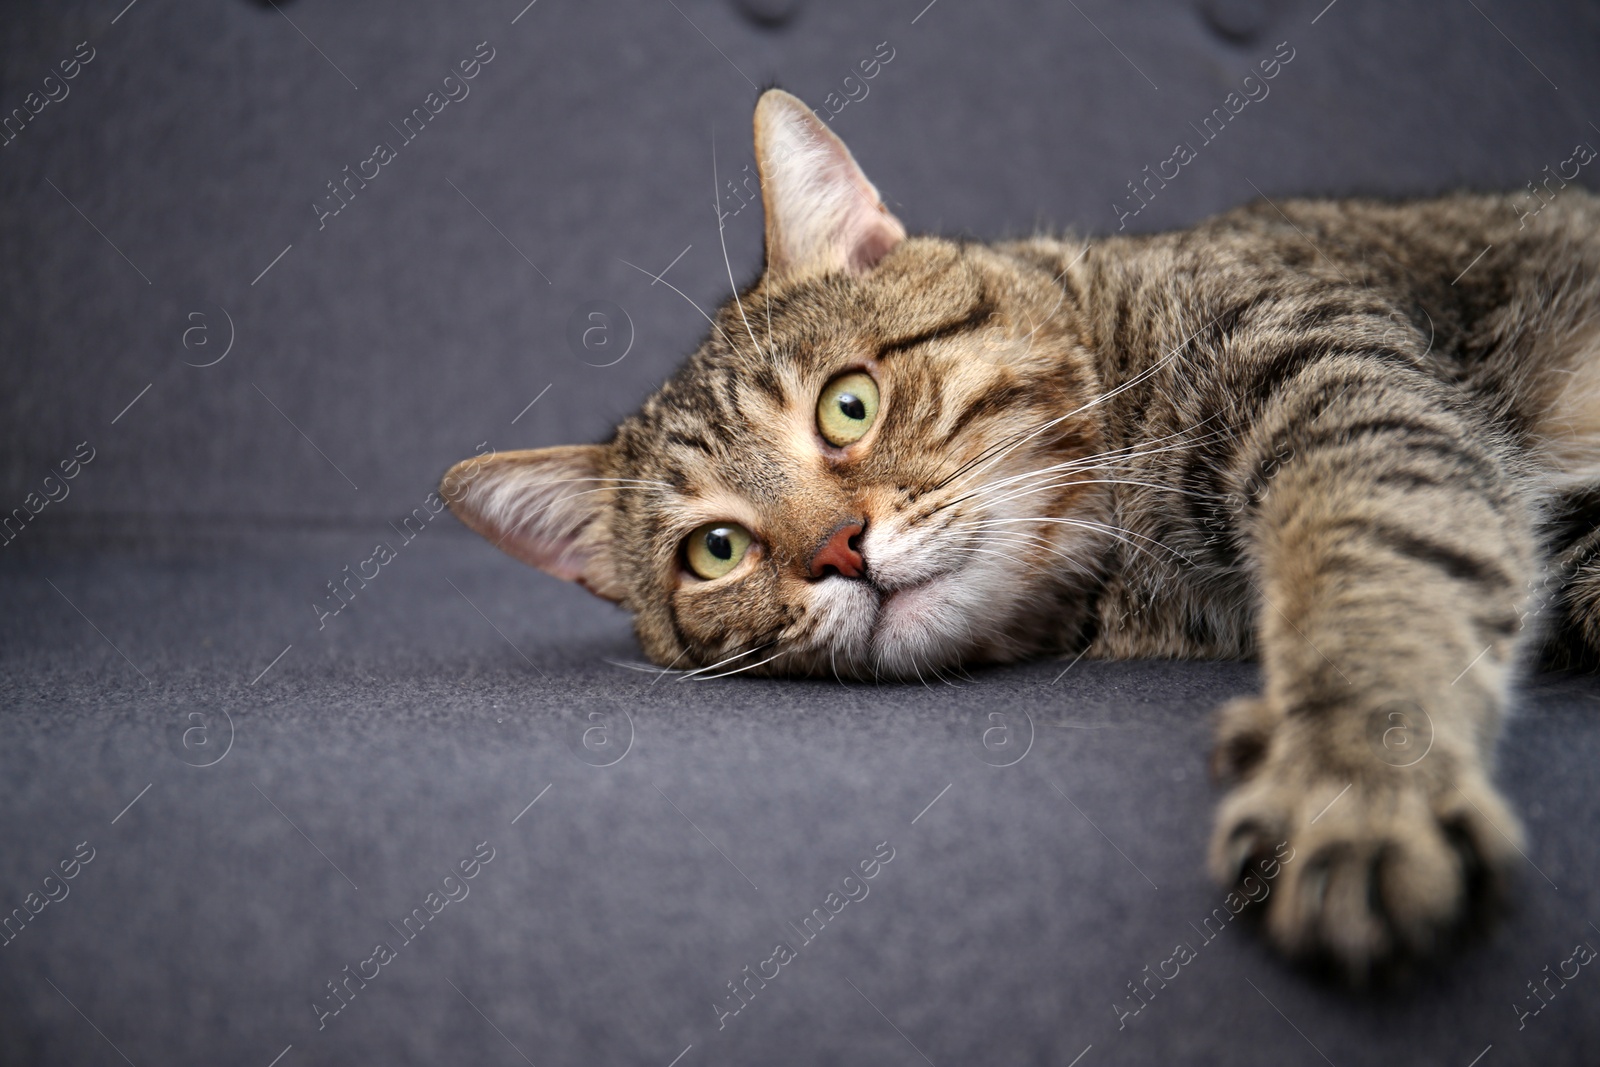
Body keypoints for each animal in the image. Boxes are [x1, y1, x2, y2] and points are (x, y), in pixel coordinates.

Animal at [444, 91, 1600, 985]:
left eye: (848, 406)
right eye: (716, 551)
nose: (837, 549)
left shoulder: (1342, 385)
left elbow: (1374, 558)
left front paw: (1355, 779)